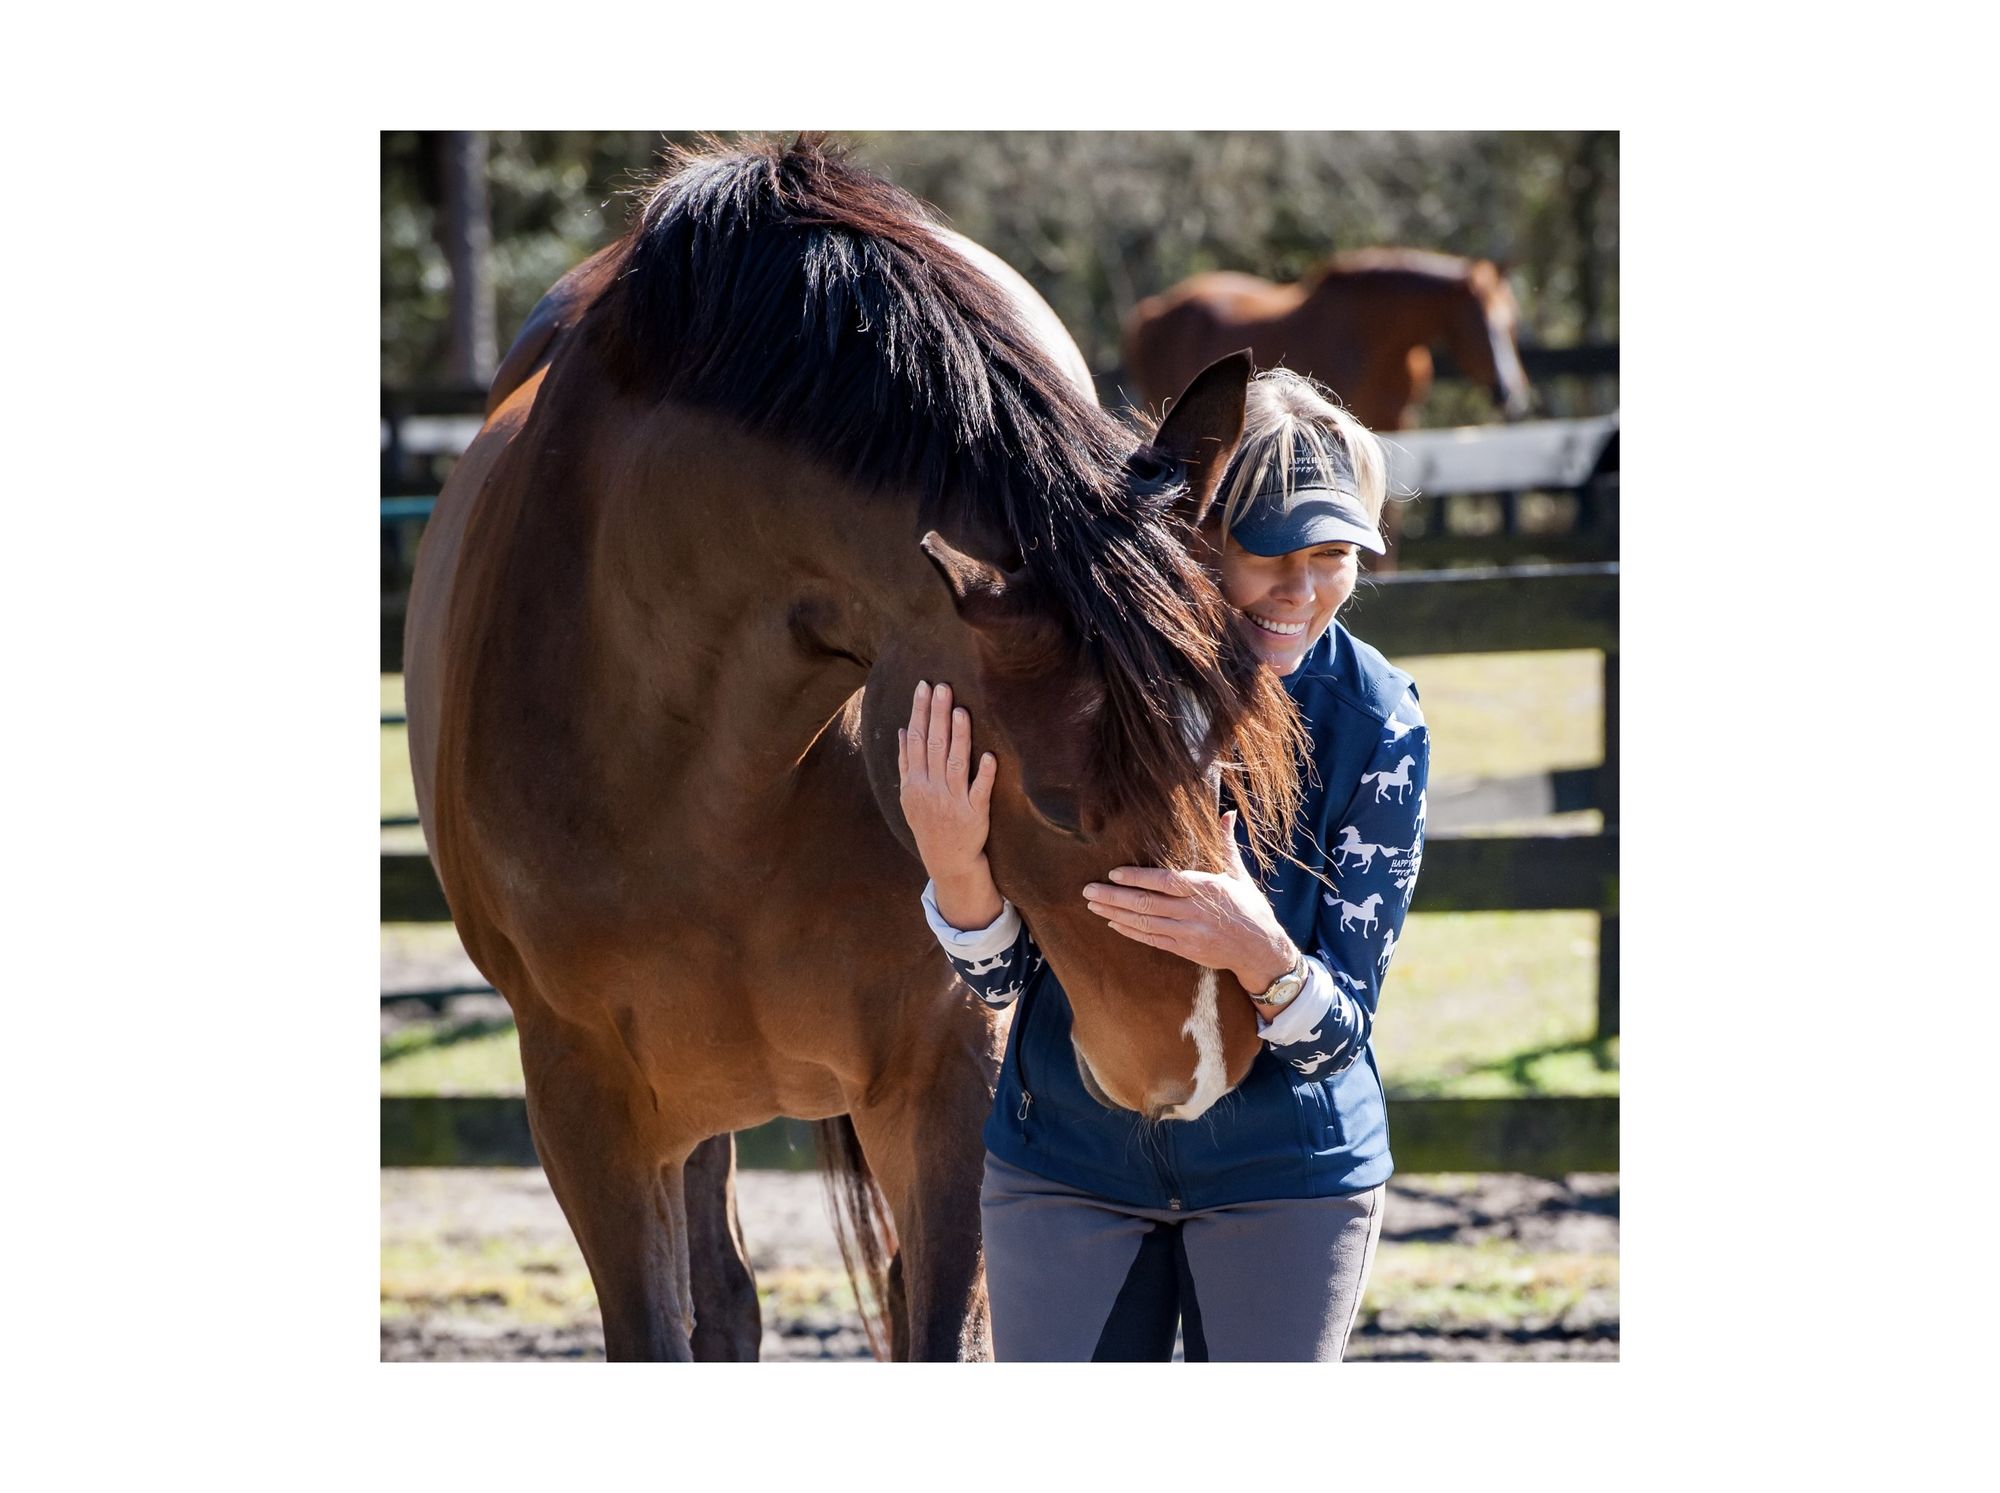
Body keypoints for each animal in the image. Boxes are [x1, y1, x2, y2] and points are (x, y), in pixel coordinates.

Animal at [1122, 249, 1534, 568]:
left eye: (1513, 320)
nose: (1510, 392)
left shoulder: (1398, 424)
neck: (1375, 339)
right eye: (1479, 322)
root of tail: (1152, 311)